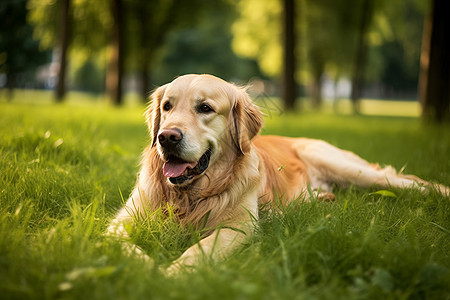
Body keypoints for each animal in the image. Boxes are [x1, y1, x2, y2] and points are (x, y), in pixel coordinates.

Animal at [107, 74, 448, 274]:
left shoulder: (239, 227)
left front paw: (171, 274)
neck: (188, 196)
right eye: (167, 106)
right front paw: (145, 270)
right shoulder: (121, 221)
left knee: (405, 182)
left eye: (205, 108)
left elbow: (199, 249)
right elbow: (124, 245)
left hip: (350, 167)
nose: (166, 137)